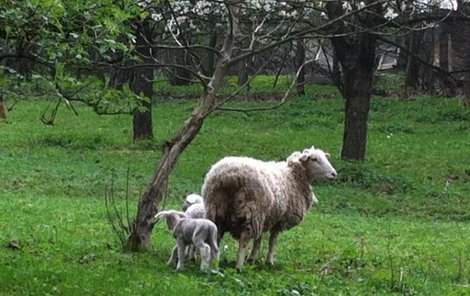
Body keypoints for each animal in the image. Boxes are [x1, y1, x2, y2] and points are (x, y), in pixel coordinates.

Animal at [202, 146, 338, 270]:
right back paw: (239, 266)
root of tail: (228, 176)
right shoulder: (280, 219)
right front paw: (269, 261)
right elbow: (272, 240)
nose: (334, 174)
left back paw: (214, 263)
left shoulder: (265, 218)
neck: (293, 176)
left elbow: (258, 239)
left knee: (216, 236)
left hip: (217, 209)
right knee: (244, 239)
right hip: (251, 210)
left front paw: (251, 259)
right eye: (314, 159)